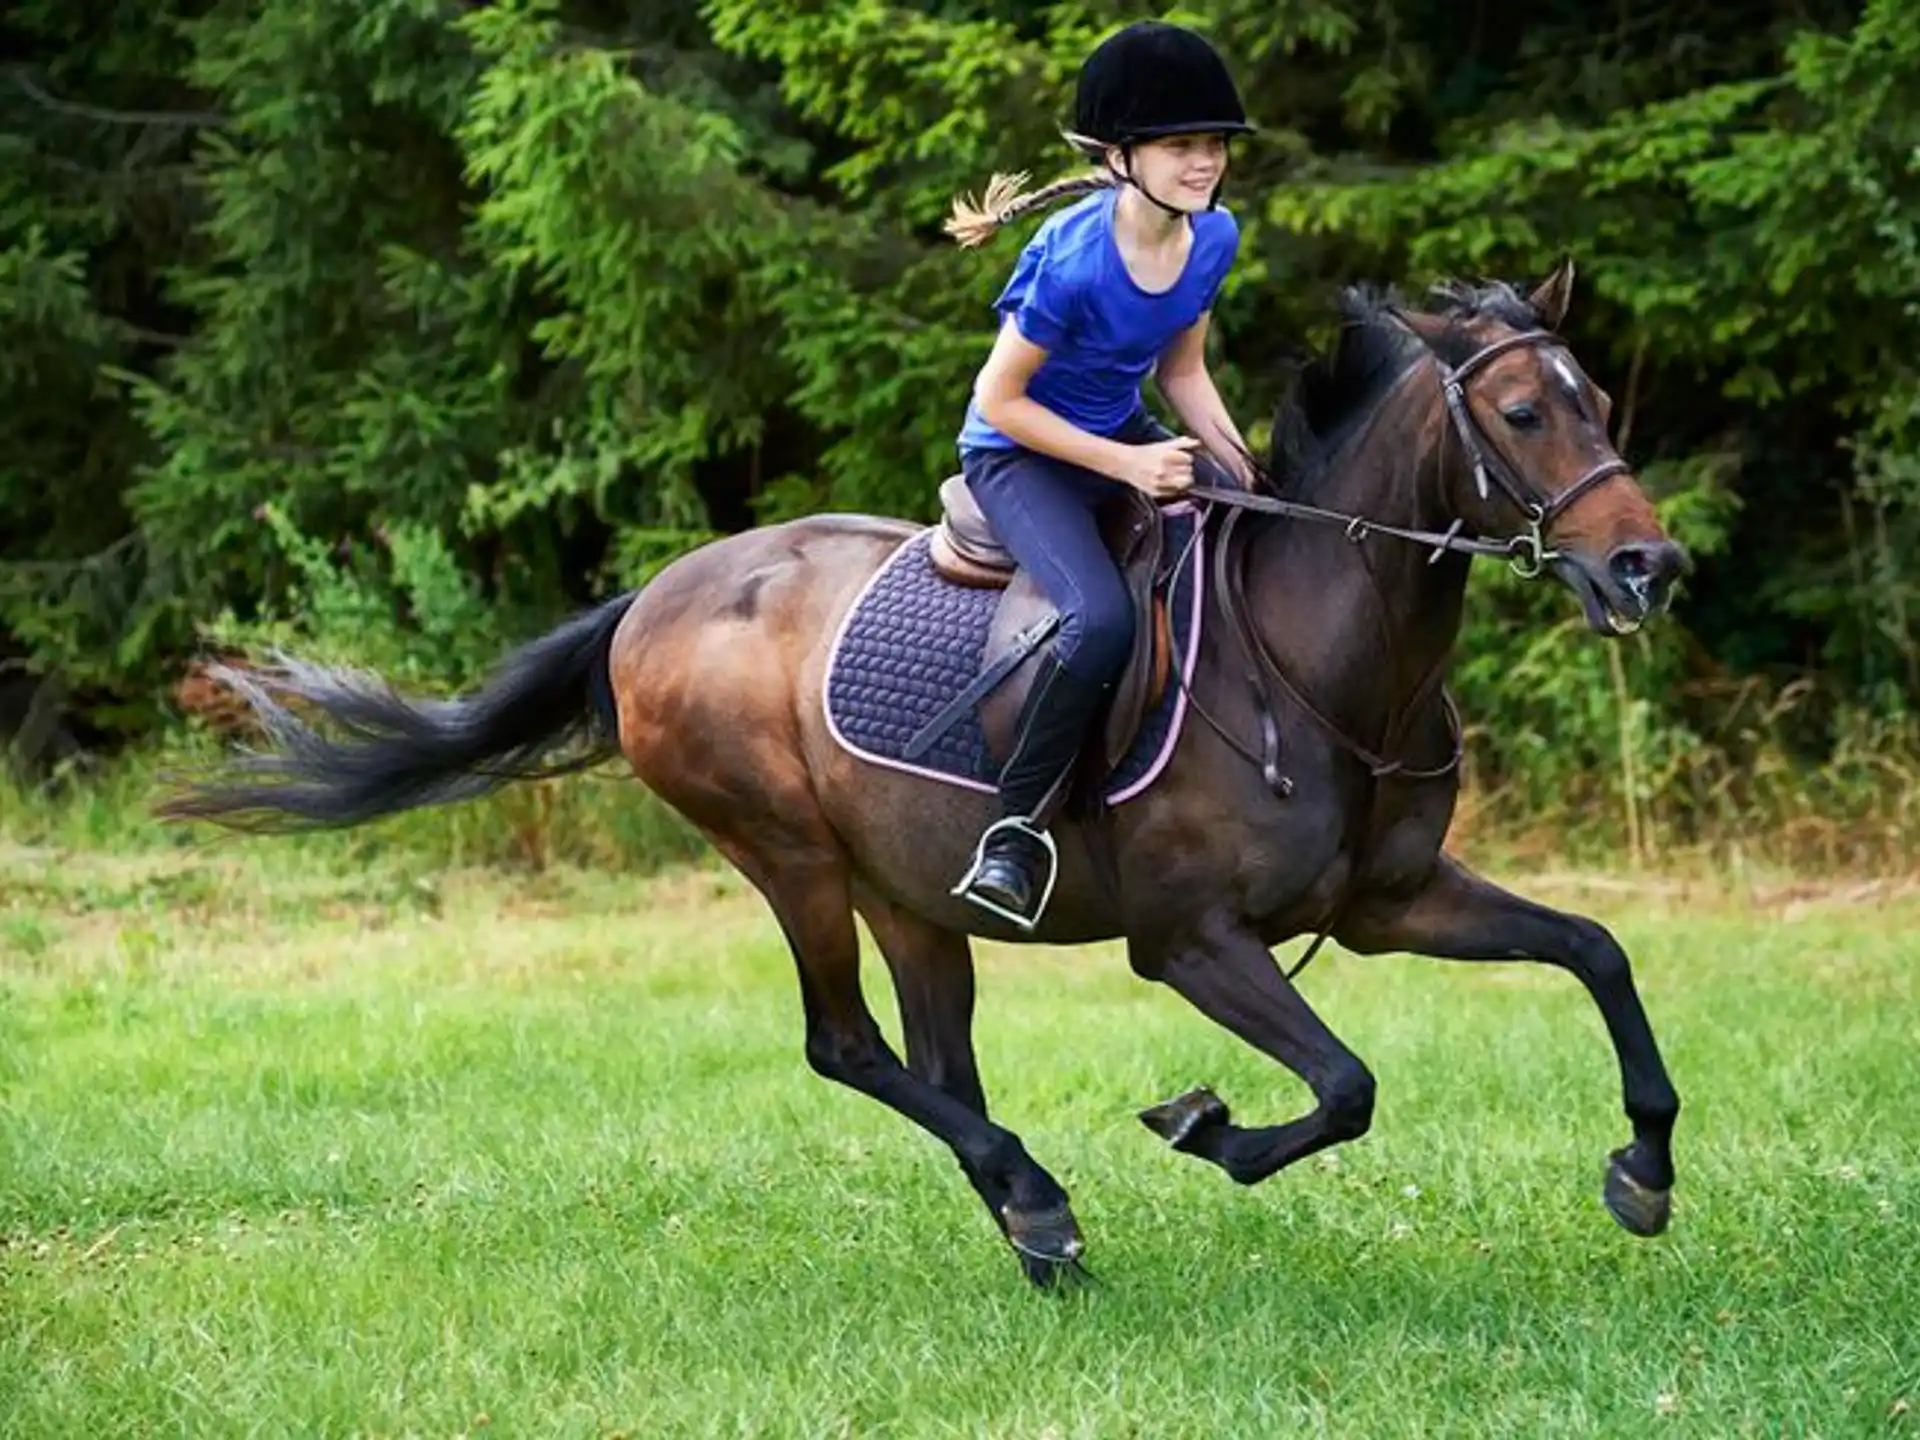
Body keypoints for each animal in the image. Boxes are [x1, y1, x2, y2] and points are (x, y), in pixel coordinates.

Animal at [161, 258, 1687, 1288]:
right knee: (846, 1046)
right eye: (1520, 415)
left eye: (1603, 399)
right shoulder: (1191, 941)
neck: (1323, 657)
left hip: (912, 892)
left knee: (934, 1058)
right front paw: (1204, 1126)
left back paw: (1035, 1223)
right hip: (789, 856)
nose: (1648, 567)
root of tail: (657, 595)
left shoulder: (1390, 901)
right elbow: (1348, 1086)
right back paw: (1039, 1198)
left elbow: (1597, 952)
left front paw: (1645, 1170)